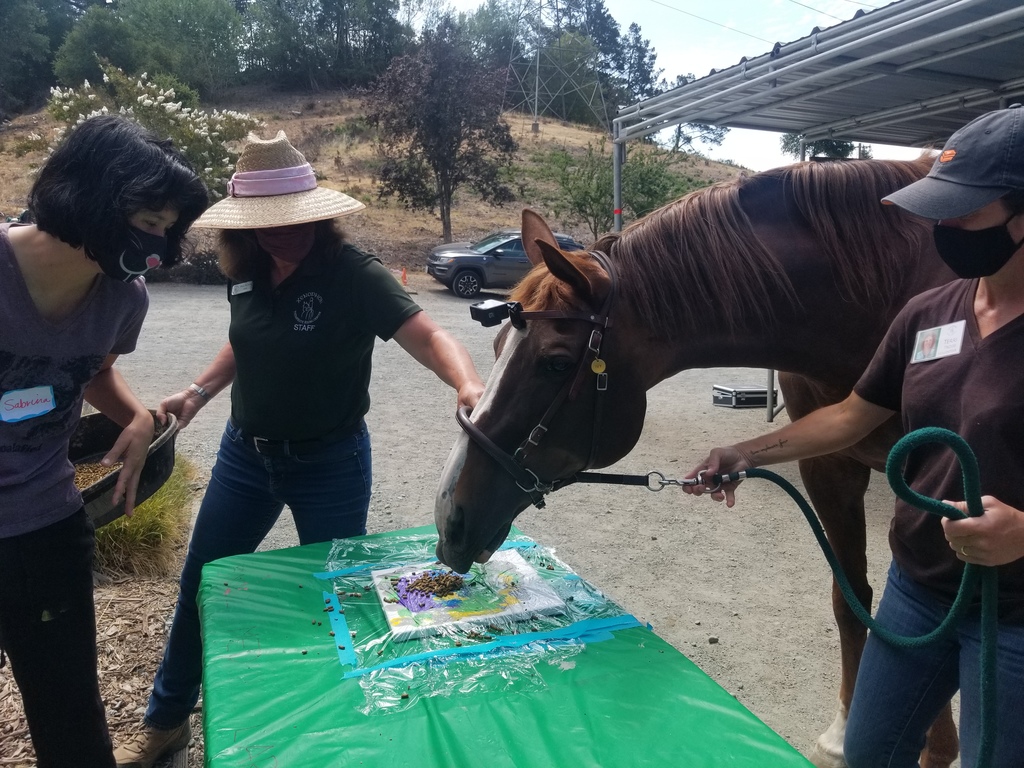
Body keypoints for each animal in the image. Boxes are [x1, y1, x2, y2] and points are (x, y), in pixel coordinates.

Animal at [433, 157, 961, 768]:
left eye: (556, 363)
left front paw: (937, 748)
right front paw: (844, 735)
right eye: (495, 350)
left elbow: (929, 623)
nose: (450, 518)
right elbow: (854, 603)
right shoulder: (831, 466)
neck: (872, 303)